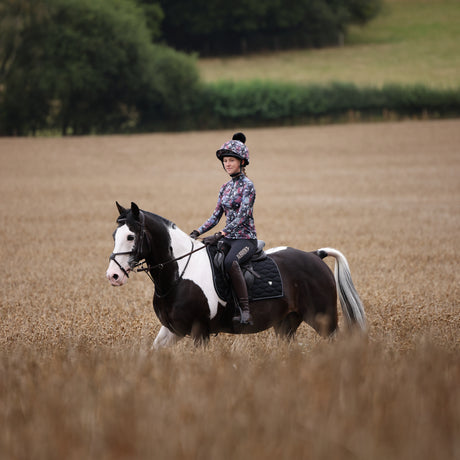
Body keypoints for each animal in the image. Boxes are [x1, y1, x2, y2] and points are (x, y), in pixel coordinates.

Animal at [107, 202, 366, 348]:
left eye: (130, 236)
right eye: (114, 235)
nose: (113, 276)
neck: (177, 275)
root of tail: (315, 255)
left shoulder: (200, 331)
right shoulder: (172, 330)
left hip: (324, 320)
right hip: (286, 325)